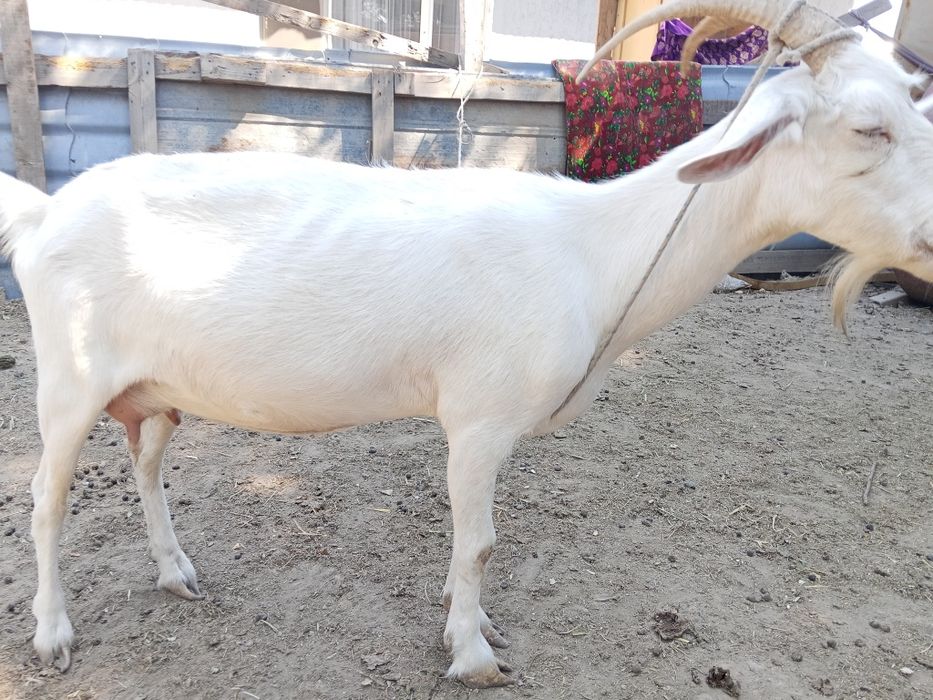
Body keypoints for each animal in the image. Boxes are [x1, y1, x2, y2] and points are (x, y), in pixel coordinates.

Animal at [2, 0, 932, 688]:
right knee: (46, 502)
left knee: (147, 467)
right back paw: (52, 634)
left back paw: (175, 573)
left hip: (153, 392)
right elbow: (479, 541)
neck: (590, 250)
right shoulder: (479, 421)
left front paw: (473, 626)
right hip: (69, 381)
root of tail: (48, 213)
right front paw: (474, 655)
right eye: (867, 128)